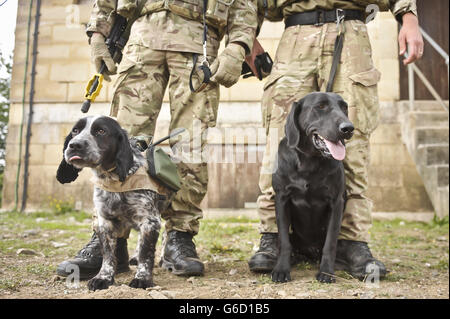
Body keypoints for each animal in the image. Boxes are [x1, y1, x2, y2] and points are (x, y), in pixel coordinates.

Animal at [56, 116, 169, 292]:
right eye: (75, 130)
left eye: (101, 131)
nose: (74, 145)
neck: (113, 180)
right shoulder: (105, 222)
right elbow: (108, 255)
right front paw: (103, 278)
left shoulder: (149, 221)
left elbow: (146, 253)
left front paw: (142, 279)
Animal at [272, 91, 354, 284]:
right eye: (321, 106)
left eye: (344, 107)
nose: (348, 128)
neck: (310, 161)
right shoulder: (281, 198)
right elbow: (284, 241)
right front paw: (281, 269)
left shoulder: (336, 202)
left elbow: (330, 243)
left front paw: (326, 272)